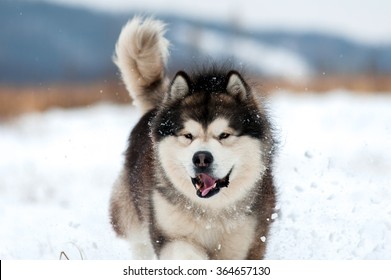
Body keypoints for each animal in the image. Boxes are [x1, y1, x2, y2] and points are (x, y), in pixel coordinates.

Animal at [108, 16, 278, 260]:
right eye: (188, 135)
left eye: (224, 135)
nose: (201, 158)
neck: (211, 211)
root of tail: (158, 106)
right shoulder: (169, 231)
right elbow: (187, 252)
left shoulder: (246, 239)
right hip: (132, 215)